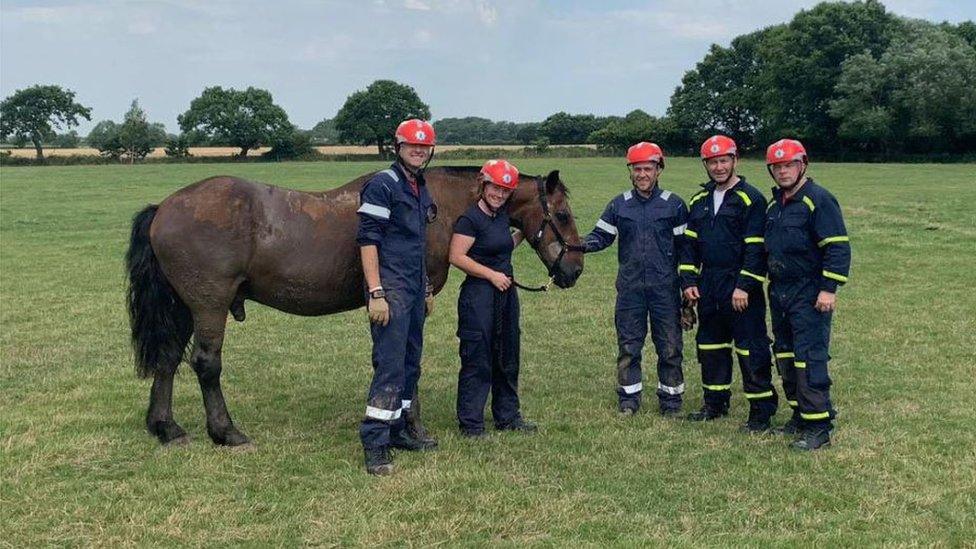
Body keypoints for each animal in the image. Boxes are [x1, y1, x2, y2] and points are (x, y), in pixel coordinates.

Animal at [126, 166, 584, 446]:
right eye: (562, 215)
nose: (575, 269)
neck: (435, 209)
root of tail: (164, 208)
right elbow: (406, 364)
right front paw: (412, 428)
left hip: (182, 308)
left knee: (168, 359)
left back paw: (166, 426)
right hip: (209, 306)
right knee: (206, 364)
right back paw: (226, 431)